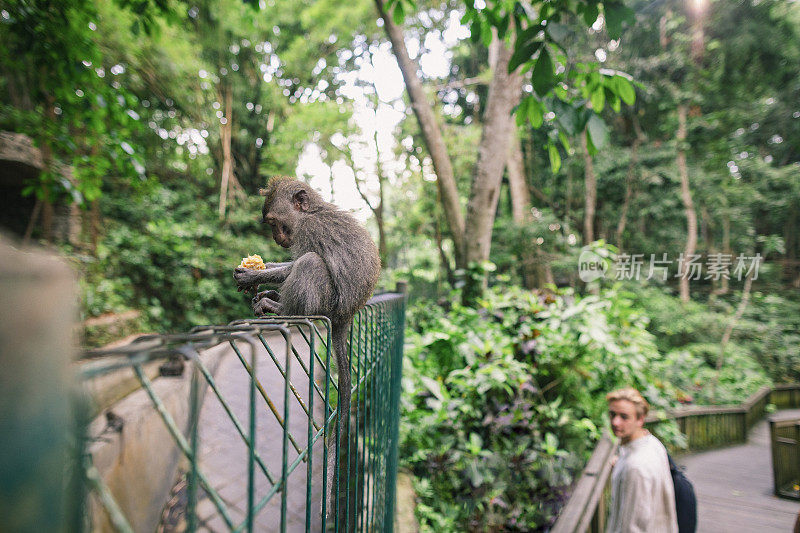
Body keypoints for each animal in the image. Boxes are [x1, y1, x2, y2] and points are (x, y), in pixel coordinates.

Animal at [231, 175, 382, 520]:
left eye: (275, 222)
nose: (276, 237)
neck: (313, 212)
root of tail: (345, 315)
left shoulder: (309, 230)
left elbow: (299, 263)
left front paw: (252, 274)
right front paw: (257, 272)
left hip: (325, 304)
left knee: (311, 264)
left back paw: (280, 309)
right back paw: (270, 299)